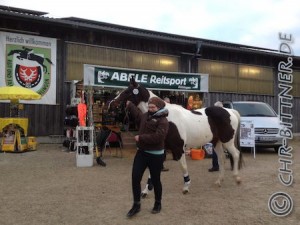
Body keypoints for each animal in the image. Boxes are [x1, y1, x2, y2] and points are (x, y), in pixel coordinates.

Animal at [111, 78, 243, 194]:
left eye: (127, 91)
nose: (112, 104)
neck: (164, 115)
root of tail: (230, 111)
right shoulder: (161, 148)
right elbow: (154, 170)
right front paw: (146, 190)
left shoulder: (179, 148)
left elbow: (183, 167)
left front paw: (186, 187)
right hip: (217, 142)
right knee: (222, 159)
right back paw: (219, 181)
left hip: (227, 141)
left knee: (236, 154)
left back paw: (237, 179)